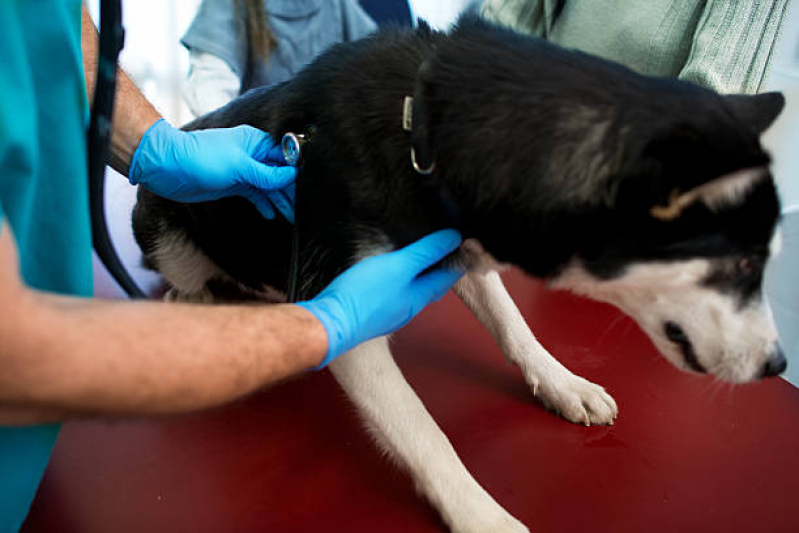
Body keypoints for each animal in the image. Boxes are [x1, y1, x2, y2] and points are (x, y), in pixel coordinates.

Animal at [133, 16, 788, 532]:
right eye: (743, 261)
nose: (778, 365)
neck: (421, 133)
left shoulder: (461, 252)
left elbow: (516, 327)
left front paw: (563, 383)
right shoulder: (347, 312)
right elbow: (422, 430)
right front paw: (480, 514)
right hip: (166, 227)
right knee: (185, 275)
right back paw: (202, 305)